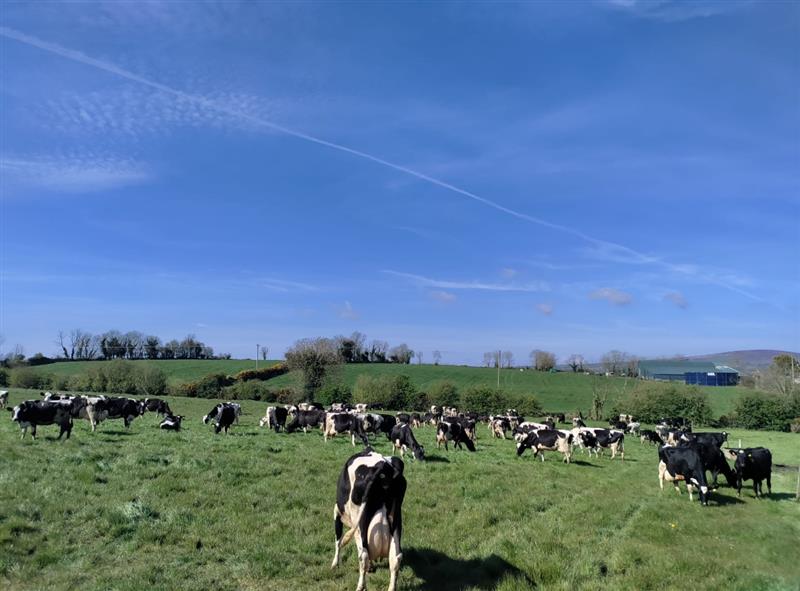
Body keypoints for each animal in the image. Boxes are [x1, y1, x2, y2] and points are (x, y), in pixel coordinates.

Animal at [332, 450, 406, 591]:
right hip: (396, 520)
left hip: (360, 523)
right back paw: (391, 587)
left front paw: (334, 564)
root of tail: (383, 466)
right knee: (396, 558)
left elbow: (338, 540)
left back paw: (361, 586)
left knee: (363, 555)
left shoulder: (337, 513)